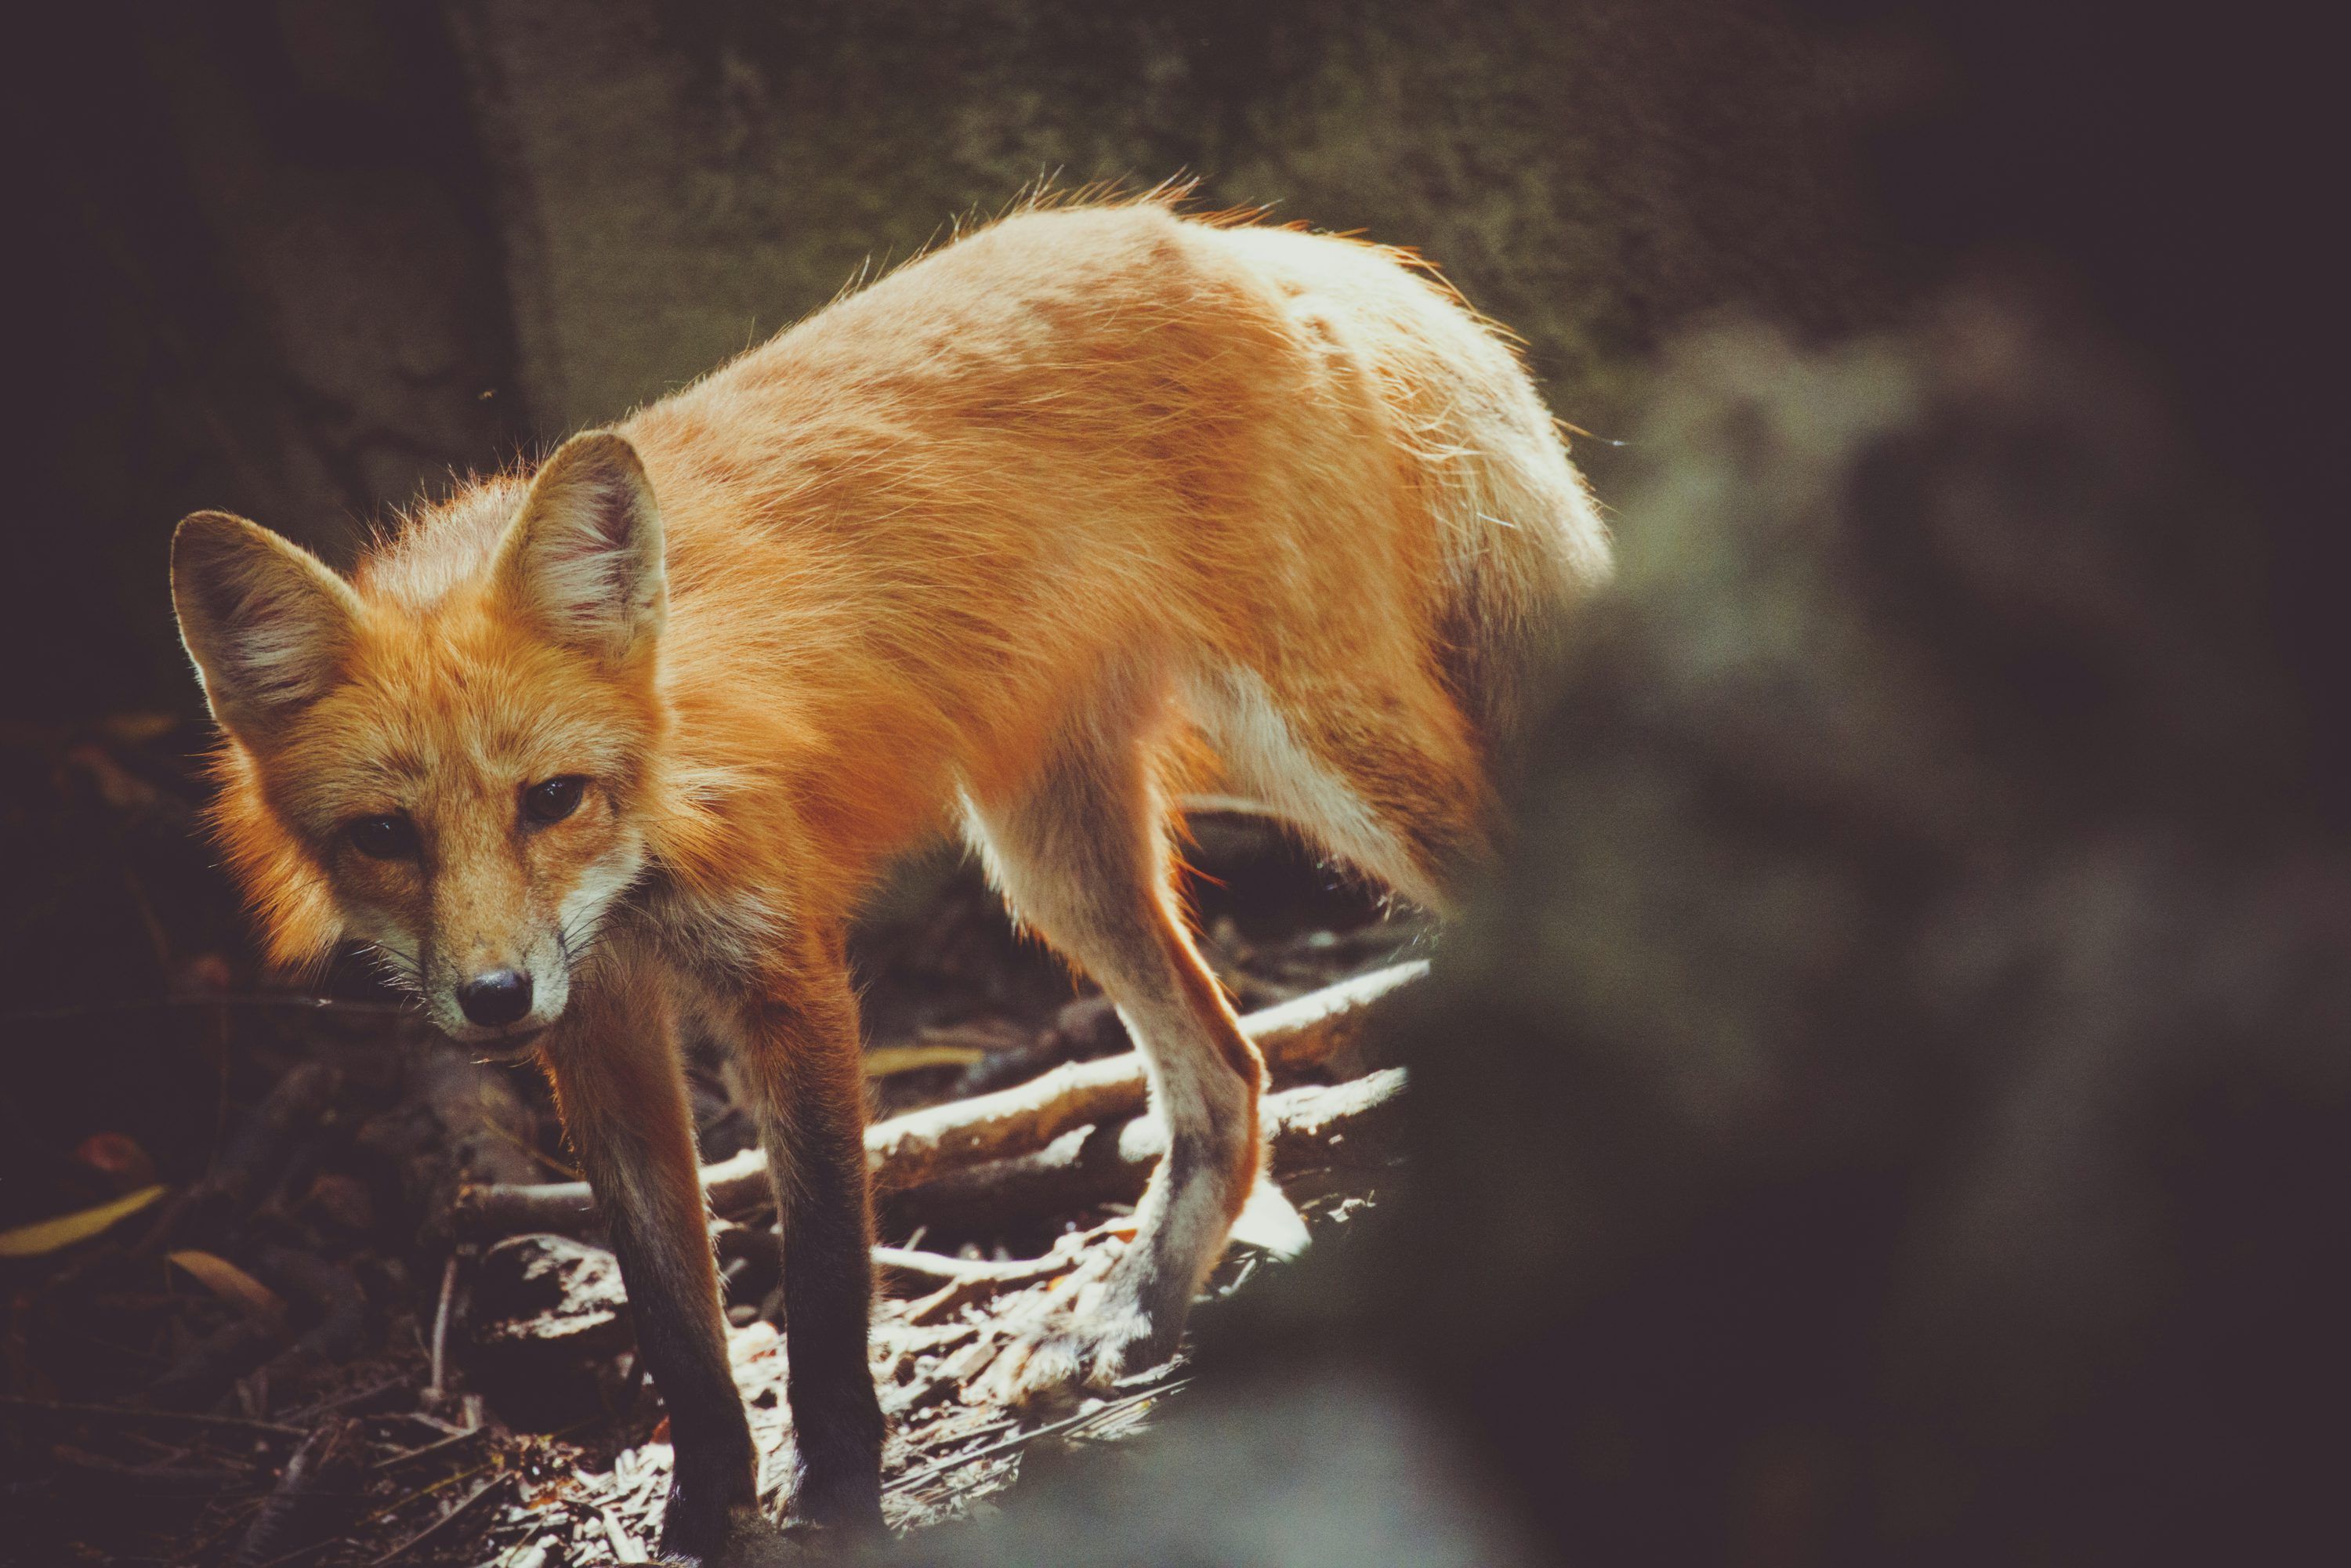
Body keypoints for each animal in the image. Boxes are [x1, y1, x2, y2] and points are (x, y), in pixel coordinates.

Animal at [170, 195, 1610, 1562]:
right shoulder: (600, 1029)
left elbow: (820, 1295)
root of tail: (1241, 245)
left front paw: (844, 1501)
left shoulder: (788, 981)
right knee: (1232, 1074)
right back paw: (1145, 1308)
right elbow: (674, 1319)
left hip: (1319, 756)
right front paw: (705, 1513)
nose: (489, 999)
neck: (651, 835)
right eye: (386, 836)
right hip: (1055, 855)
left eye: (551, 799)